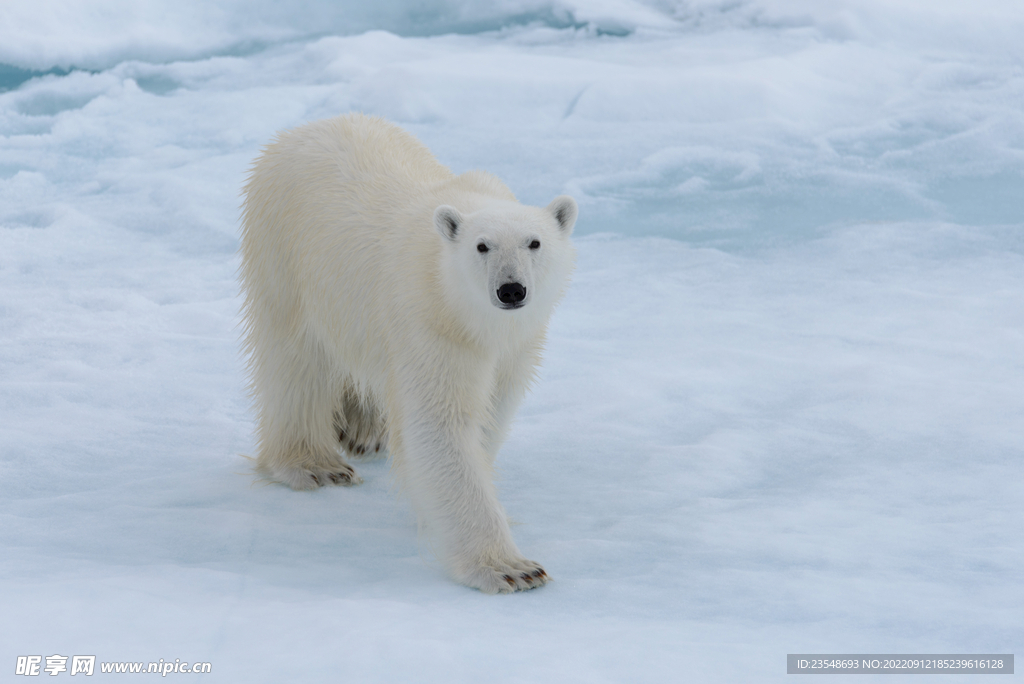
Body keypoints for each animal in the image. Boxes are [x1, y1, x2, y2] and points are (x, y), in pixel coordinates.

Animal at [238, 113, 577, 593]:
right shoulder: (431, 323)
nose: (511, 290)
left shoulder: (516, 345)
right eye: (482, 246)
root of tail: (304, 129)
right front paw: (513, 569)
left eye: (535, 242)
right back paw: (314, 464)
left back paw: (362, 430)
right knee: (297, 361)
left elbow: (490, 412)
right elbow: (441, 424)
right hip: (286, 253)